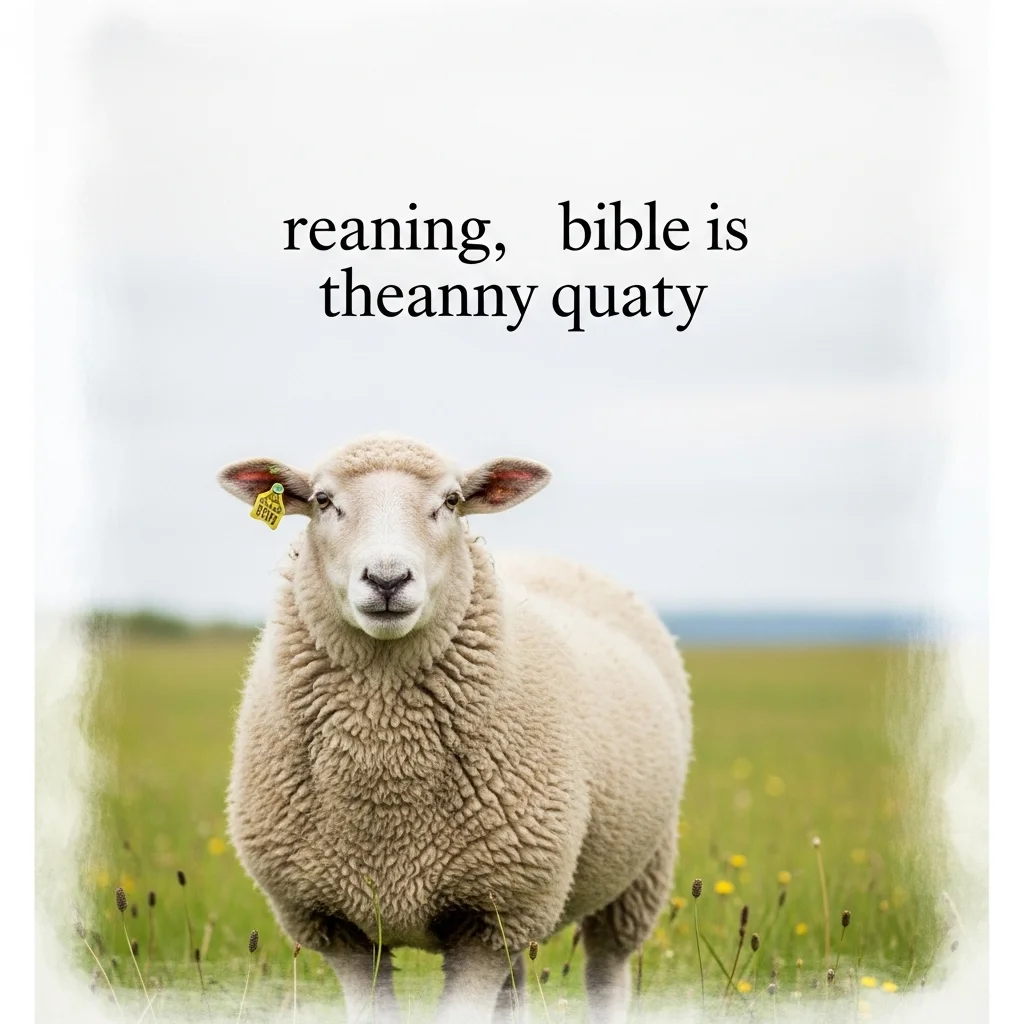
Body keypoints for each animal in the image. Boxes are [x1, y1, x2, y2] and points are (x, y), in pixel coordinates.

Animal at [218, 434, 692, 1023]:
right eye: (324, 501)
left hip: (636, 876)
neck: (385, 766)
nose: (388, 579)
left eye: (450, 501)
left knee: (607, 972)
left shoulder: (493, 913)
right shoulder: (336, 922)